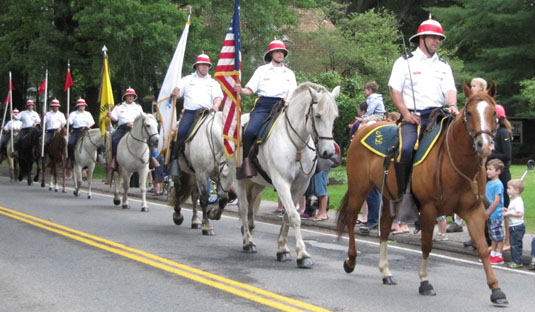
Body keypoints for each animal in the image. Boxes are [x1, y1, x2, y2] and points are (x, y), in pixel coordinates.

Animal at [230, 82, 340, 268]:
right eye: (317, 116)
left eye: (335, 117)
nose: (328, 152)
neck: (297, 146)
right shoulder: (282, 183)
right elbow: (295, 217)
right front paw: (302, 254)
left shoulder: (300, 186)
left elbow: (288, 216)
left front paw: (283, 249)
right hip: (240, 178)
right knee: (244, 208)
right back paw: (248, 242)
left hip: (258, 183)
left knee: (251, 206)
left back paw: (249, 230)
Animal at [338, 82, 508, 304]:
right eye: (469, 113)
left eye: (493, 113)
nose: (485, 145)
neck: (455, 161)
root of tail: (363, 130)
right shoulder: (428, 208)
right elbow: (427, 245)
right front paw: (425, 282)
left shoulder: (474, 210)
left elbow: (482, 247)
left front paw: (496, 289)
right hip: (359, 189)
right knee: (350, 220)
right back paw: (350, 260)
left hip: (389, 197)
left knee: (384, 229)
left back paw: (386, 272)